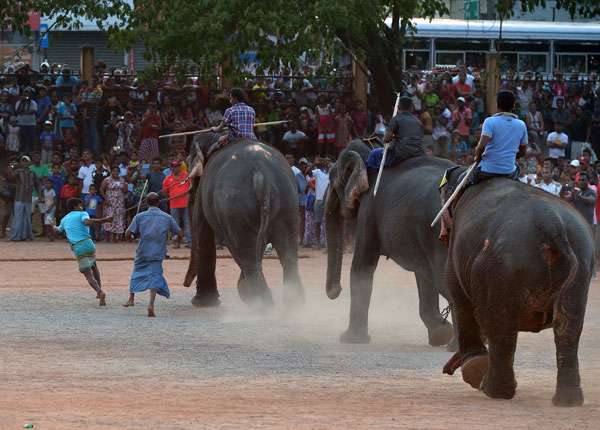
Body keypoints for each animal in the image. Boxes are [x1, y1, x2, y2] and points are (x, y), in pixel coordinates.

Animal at [183, 134, 304, 306]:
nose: (185, 284)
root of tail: (261, 174)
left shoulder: (203, 194)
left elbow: (202, 230)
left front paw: (202, 303)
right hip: (288, 201)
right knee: (287, 252)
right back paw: (292, 305)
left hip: (234, 209)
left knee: (245, 251)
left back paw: (259, 304)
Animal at [326, 139, 458, 348]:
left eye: (332, 180)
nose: (336, 291)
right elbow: (423, 275)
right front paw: (440, 335)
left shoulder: (369, 209)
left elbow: (362, 267)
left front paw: (350, 339)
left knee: (445, 279)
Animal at [440, 167, 596, 406]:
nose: (446, 370)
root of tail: (552, 226)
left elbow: (459, 298)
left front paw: (473, 368)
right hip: (582, 264)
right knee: (568, 326)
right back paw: (567, 401)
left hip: (503, 266)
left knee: (499, 326)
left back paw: (492, 389)